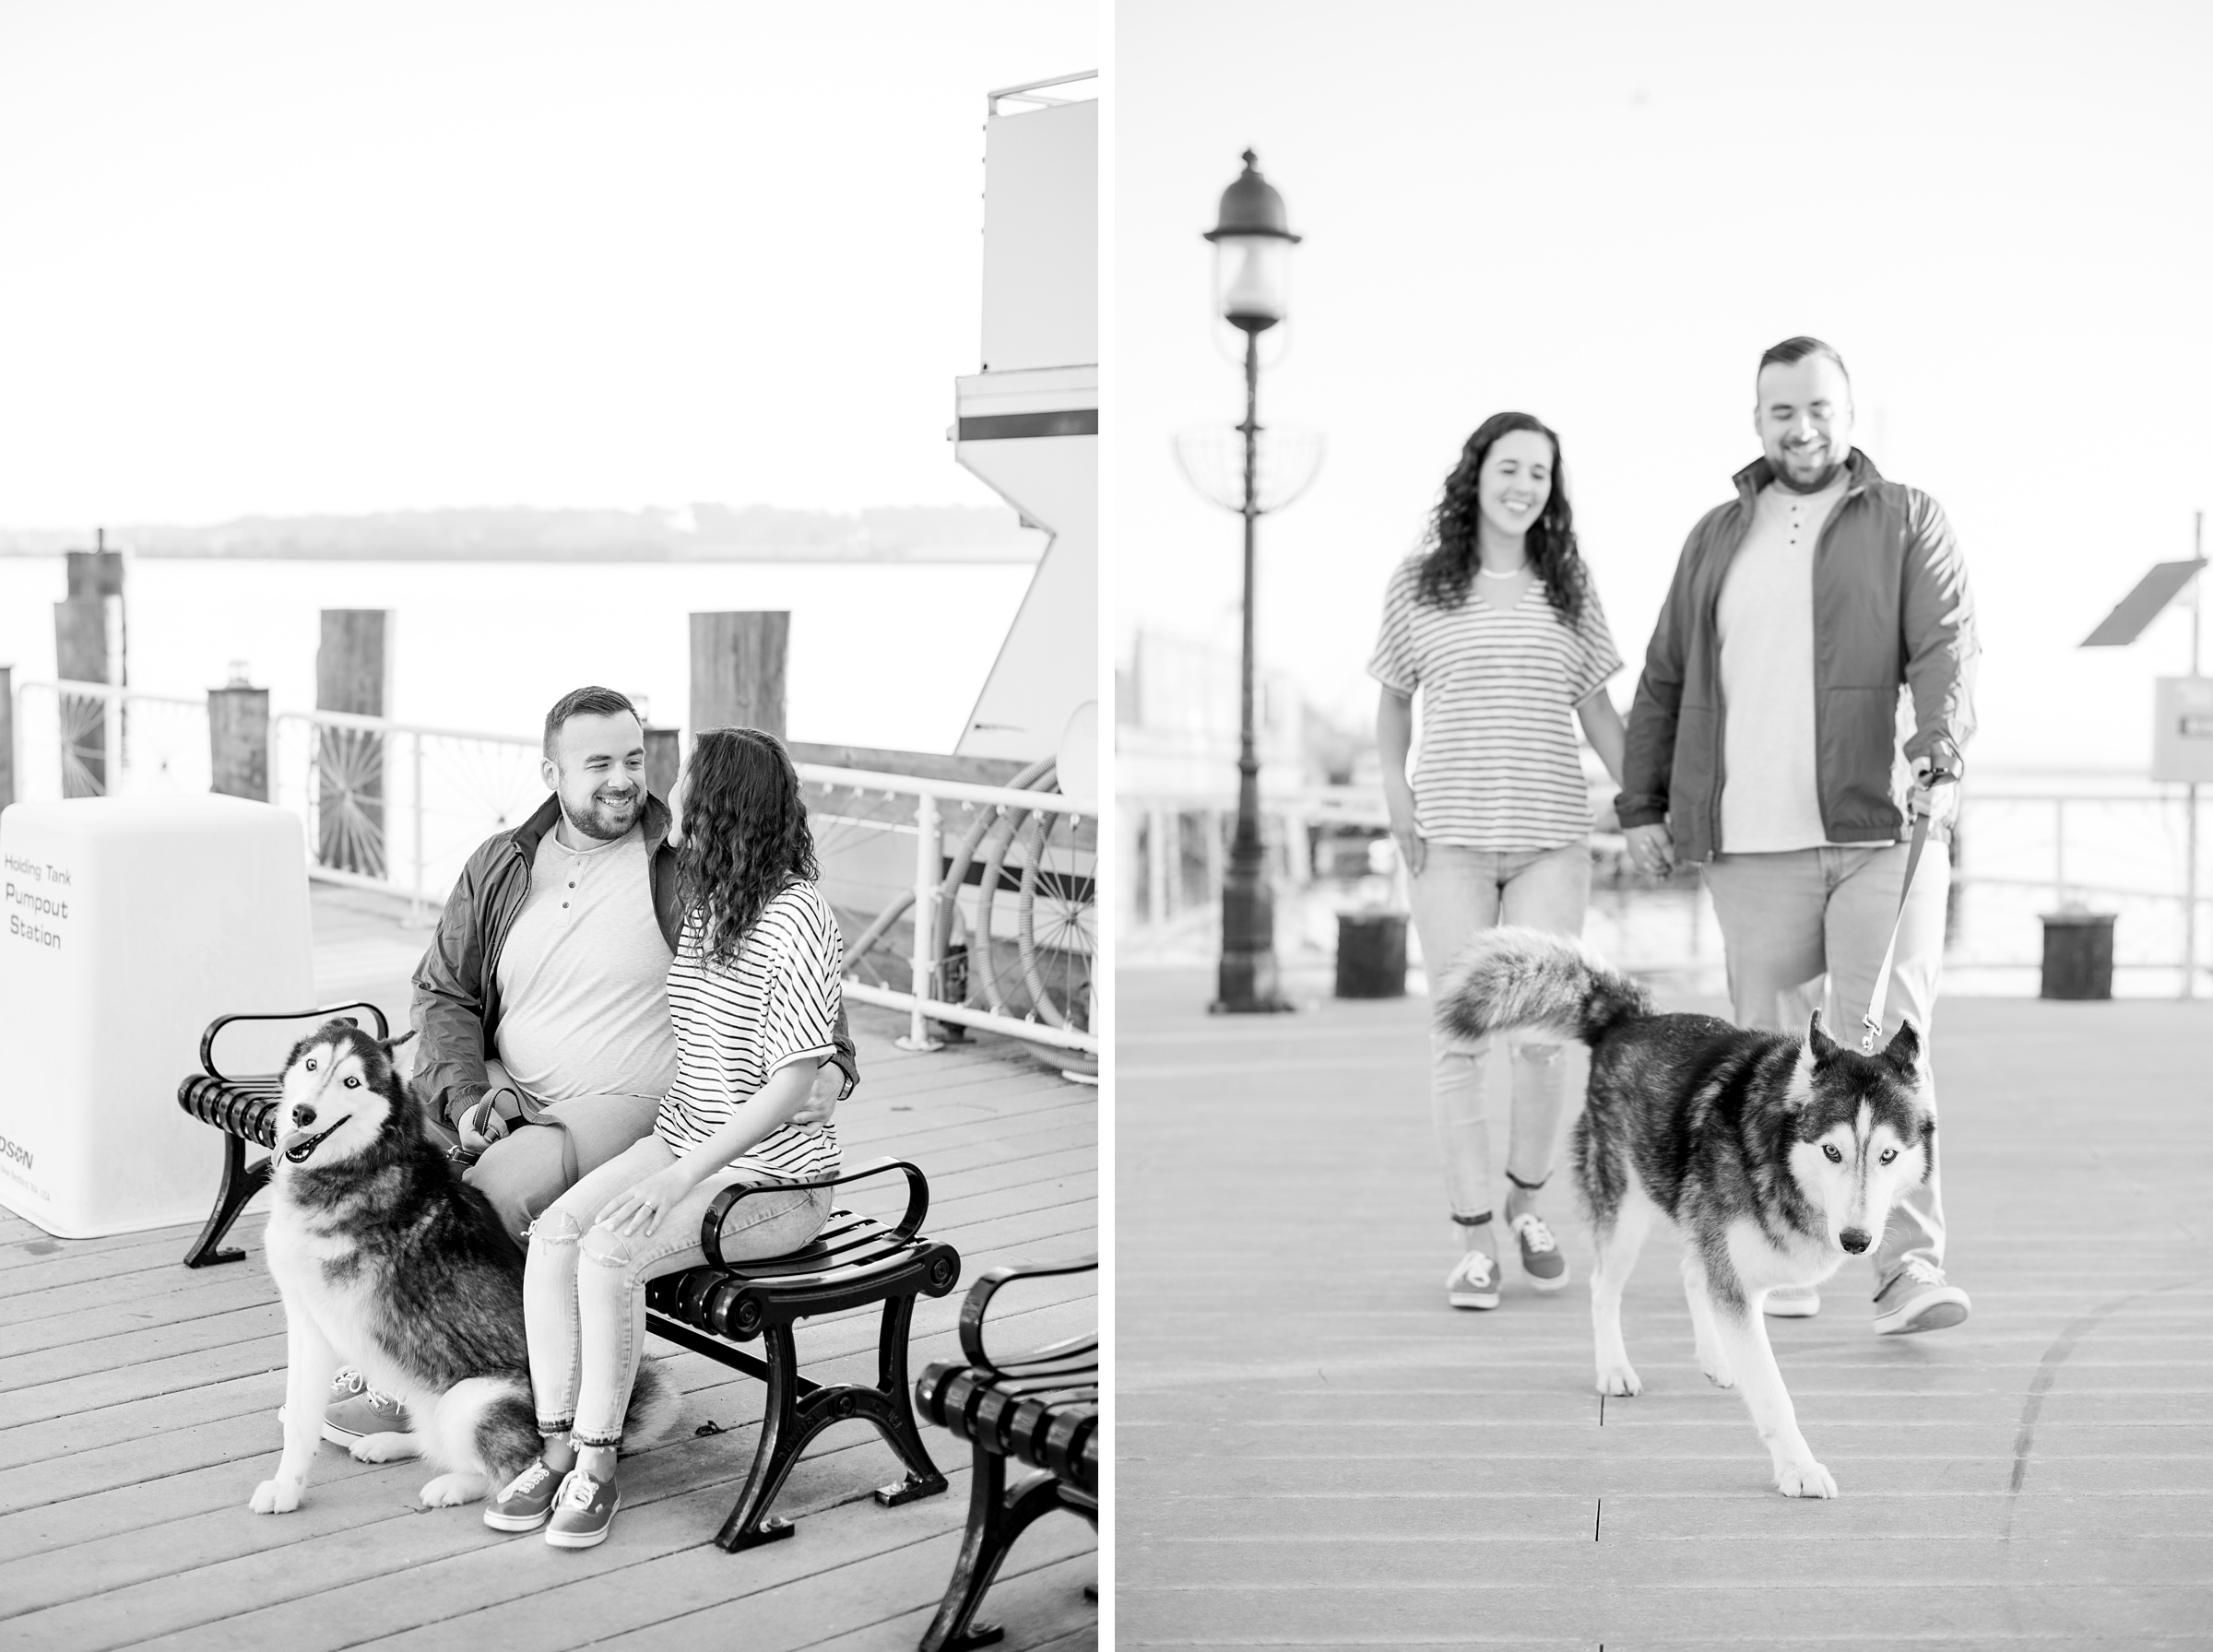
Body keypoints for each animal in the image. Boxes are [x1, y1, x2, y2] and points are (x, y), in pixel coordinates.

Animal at [249, 1012, 664, 1521]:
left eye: (351, 1082)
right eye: (311, 1065)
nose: (302, 1114)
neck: (356, 1168)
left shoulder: (323, 1321)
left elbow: (302, 1419)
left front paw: (287, 1491)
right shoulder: (306, 1320)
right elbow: (299, 1419)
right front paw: (287, 1485)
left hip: (470, 1400)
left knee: (510, 1471)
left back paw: (454, 1485)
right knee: (434, 1439)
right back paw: (389, 1442)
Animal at [1442, 928, 1929, 1494]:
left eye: (1887, 1156)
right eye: (1832, 1151)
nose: (1855, 1241)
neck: (1776, 1159)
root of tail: (1628, 1019)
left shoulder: (1732, 1268)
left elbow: (1716, 1296)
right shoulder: (1734, 1281)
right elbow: (1773, 1392)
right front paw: (1799, 1468)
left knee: (1691, 1272)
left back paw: (1716, 1359)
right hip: (1626, 1215)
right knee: (1604, 1288)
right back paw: (1614, 1369)